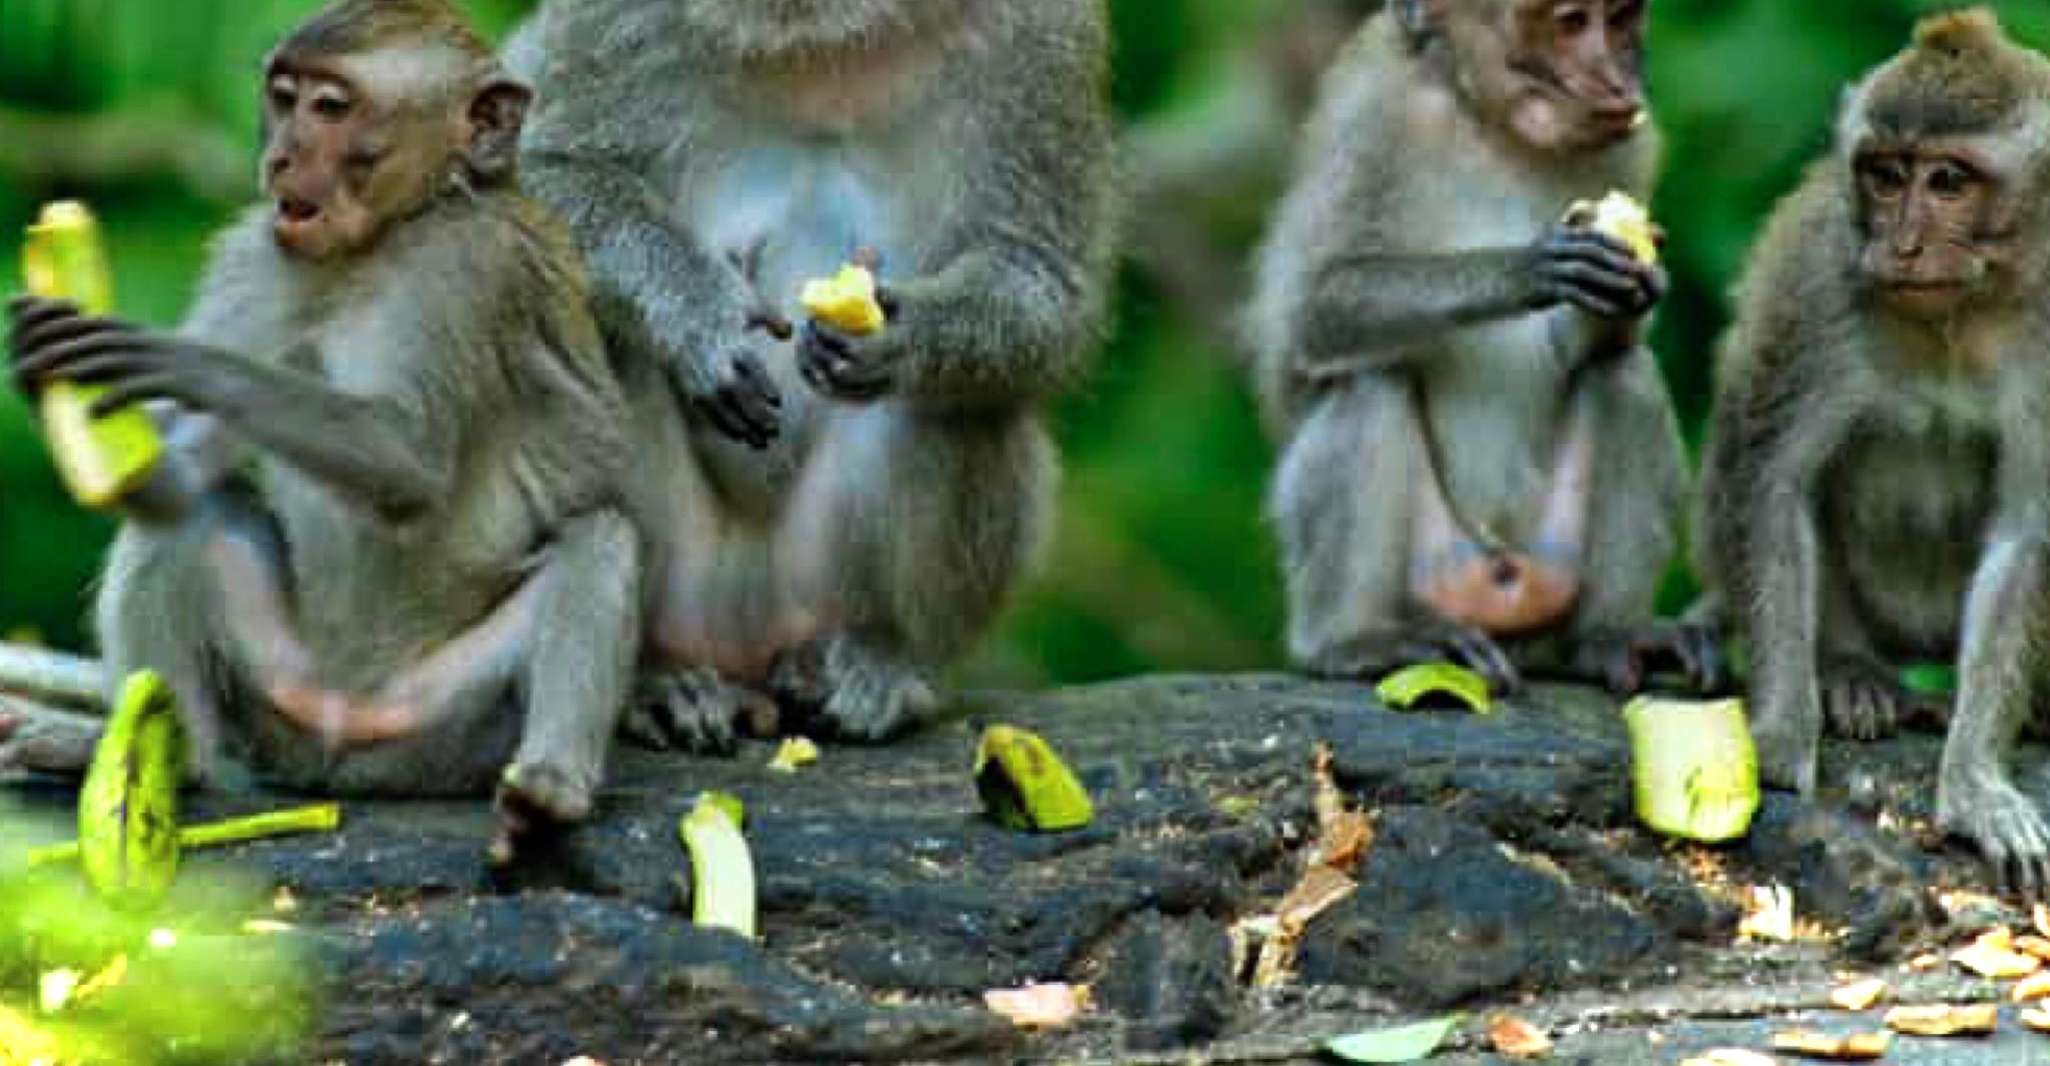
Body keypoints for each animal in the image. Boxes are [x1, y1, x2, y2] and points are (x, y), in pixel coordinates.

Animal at [1, 0, 640, 862]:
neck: (387, 237)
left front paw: (187, 364)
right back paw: (174, 760)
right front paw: (40, 366)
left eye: (332, 108)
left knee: (601, 536)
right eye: (283, 97)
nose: (278, 159)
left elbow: (407, 462)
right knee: (193, 516)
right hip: (278, 691)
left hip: (447, 722)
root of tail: (342, 731)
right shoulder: (254, 255)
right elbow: (173, 486)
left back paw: (547, 791)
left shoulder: (469, 270)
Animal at [505, 0, 1116, 749]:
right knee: (602, 345)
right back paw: (653, 677)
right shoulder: (607, 20)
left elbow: (1040, 282)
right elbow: (549, 176)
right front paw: (695, 313)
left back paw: (885, 660)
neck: (818, 42)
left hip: (818, 580)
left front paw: (908, 338)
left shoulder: (1039, 41)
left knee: (962, 401)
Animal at [1244, 0, 1718, 696]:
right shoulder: (1374, 118)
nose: (1618, 84)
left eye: (1619, 20)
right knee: (1369, 381)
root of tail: (1500, 586)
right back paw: (1356, 641)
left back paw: (1609, 634)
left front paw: (1635, 288)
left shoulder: (1631, 147)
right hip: (1434, 571)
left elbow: (1606, 346)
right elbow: (1313, 312)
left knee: (1624, 373)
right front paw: (1526, 269)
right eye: (1570, 23)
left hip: (1548, 566)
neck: (1491, 127)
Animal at [1697, 9, 2050, 893]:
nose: (1903, 245)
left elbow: (2028, 532)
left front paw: (1974, 782)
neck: (1963, 310)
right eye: (1886, 177)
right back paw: (1852, 671)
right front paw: (1780, 735)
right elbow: (1774, 482)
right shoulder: (1818, 283)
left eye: (1949, 182)